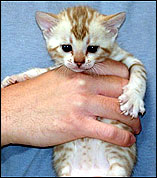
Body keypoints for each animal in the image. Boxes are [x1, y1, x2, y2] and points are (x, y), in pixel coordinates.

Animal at [1, 5, 146, 177]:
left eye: (92, 48)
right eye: (66, 47)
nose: (78, 62)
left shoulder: (131, 60)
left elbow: (139, 73)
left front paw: (133, 98)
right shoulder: (58, 66)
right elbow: (39, 71)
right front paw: (17, 78)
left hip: (118, 167)